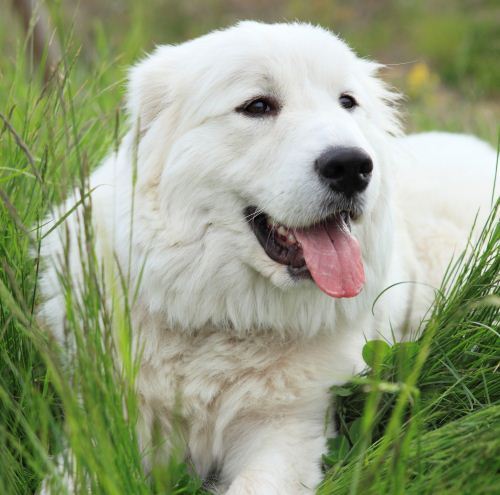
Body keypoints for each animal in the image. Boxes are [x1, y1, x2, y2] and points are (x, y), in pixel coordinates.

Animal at [39, 21, 496, 494]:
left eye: (347, 102)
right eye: (258, 106)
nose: (352, 166)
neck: (221, 320)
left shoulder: (286, 431)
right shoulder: (111, 421)